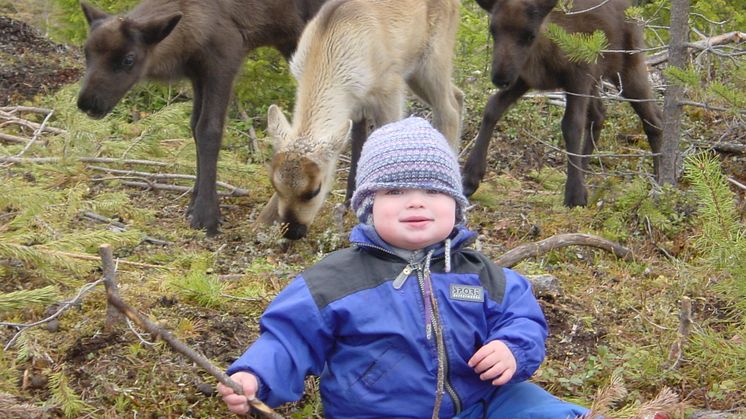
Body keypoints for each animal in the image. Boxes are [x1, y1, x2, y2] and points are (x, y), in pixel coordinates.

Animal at [75, 0, 326, 236]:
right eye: (87, 52)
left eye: (128, 59)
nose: (87, 103)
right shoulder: (197, 74)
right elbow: (195, 127)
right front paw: (194, 204)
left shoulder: (223, 63)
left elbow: (209, 130)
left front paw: (207, 216)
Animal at [464, 0, 664, 207]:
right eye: (493, 30)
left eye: (530, 35)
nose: (500, 78)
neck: (543, 53)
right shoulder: (524, 79)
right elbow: (492, 108)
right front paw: (470, 177)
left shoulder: (578, 78)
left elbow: (571, 125)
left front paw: (575, 195)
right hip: (594, 81)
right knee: (599, 115)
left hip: (627, 67)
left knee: (654, 118)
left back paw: (659, 182)